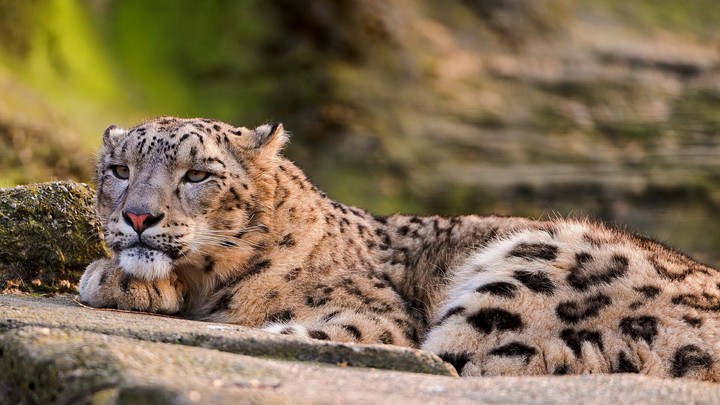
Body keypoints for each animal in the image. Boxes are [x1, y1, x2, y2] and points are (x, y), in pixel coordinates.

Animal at [80, 116, 720, 381]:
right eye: (119, 169)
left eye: (198, 174)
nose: (139, 215)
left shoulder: (373, 315)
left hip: (528, 275)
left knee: (451, 357)